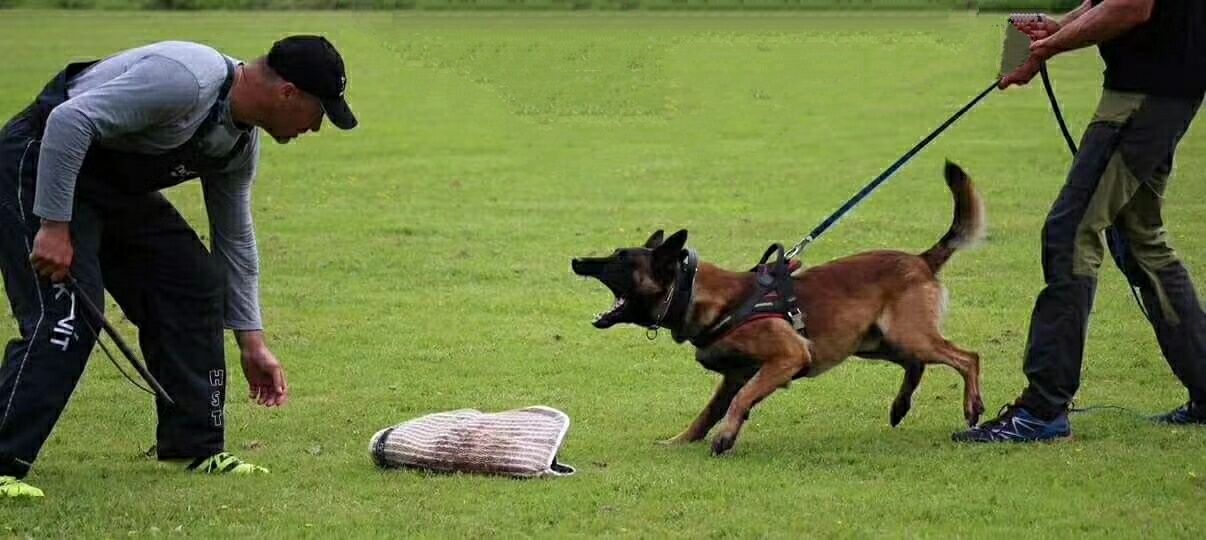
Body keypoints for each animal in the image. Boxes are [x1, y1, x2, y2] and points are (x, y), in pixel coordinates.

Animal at [574, 161, 988, 455]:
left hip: (906, 335)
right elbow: (709, 411)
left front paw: (725, 437)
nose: (577, 261)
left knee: (967, 357)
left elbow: (742, 400)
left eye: (620, 260)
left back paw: (972, 407)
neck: (698, 293)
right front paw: (680, 441)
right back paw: (900, 406)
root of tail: (921, 260)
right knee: (916, 364)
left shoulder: (787, 356)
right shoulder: (735, 375)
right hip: (877, 342)